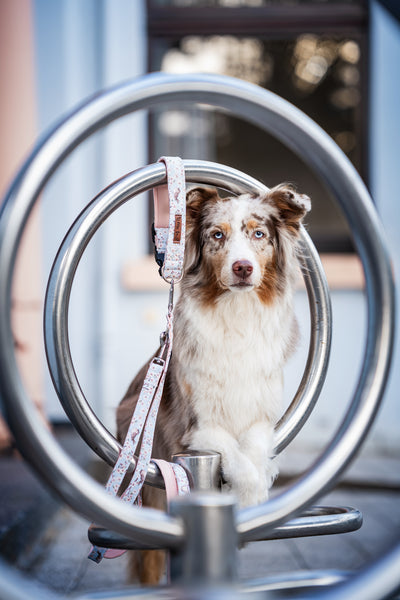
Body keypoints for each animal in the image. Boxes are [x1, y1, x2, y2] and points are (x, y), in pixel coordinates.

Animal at [115, 185, 310, 584]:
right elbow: (234, 455)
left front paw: (257, 490)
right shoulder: (196, 426)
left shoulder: (261, 416)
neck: (237, 312)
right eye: (217, 235)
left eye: (258, 234)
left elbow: (253, 448)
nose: (242, 267)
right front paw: (250, 498)